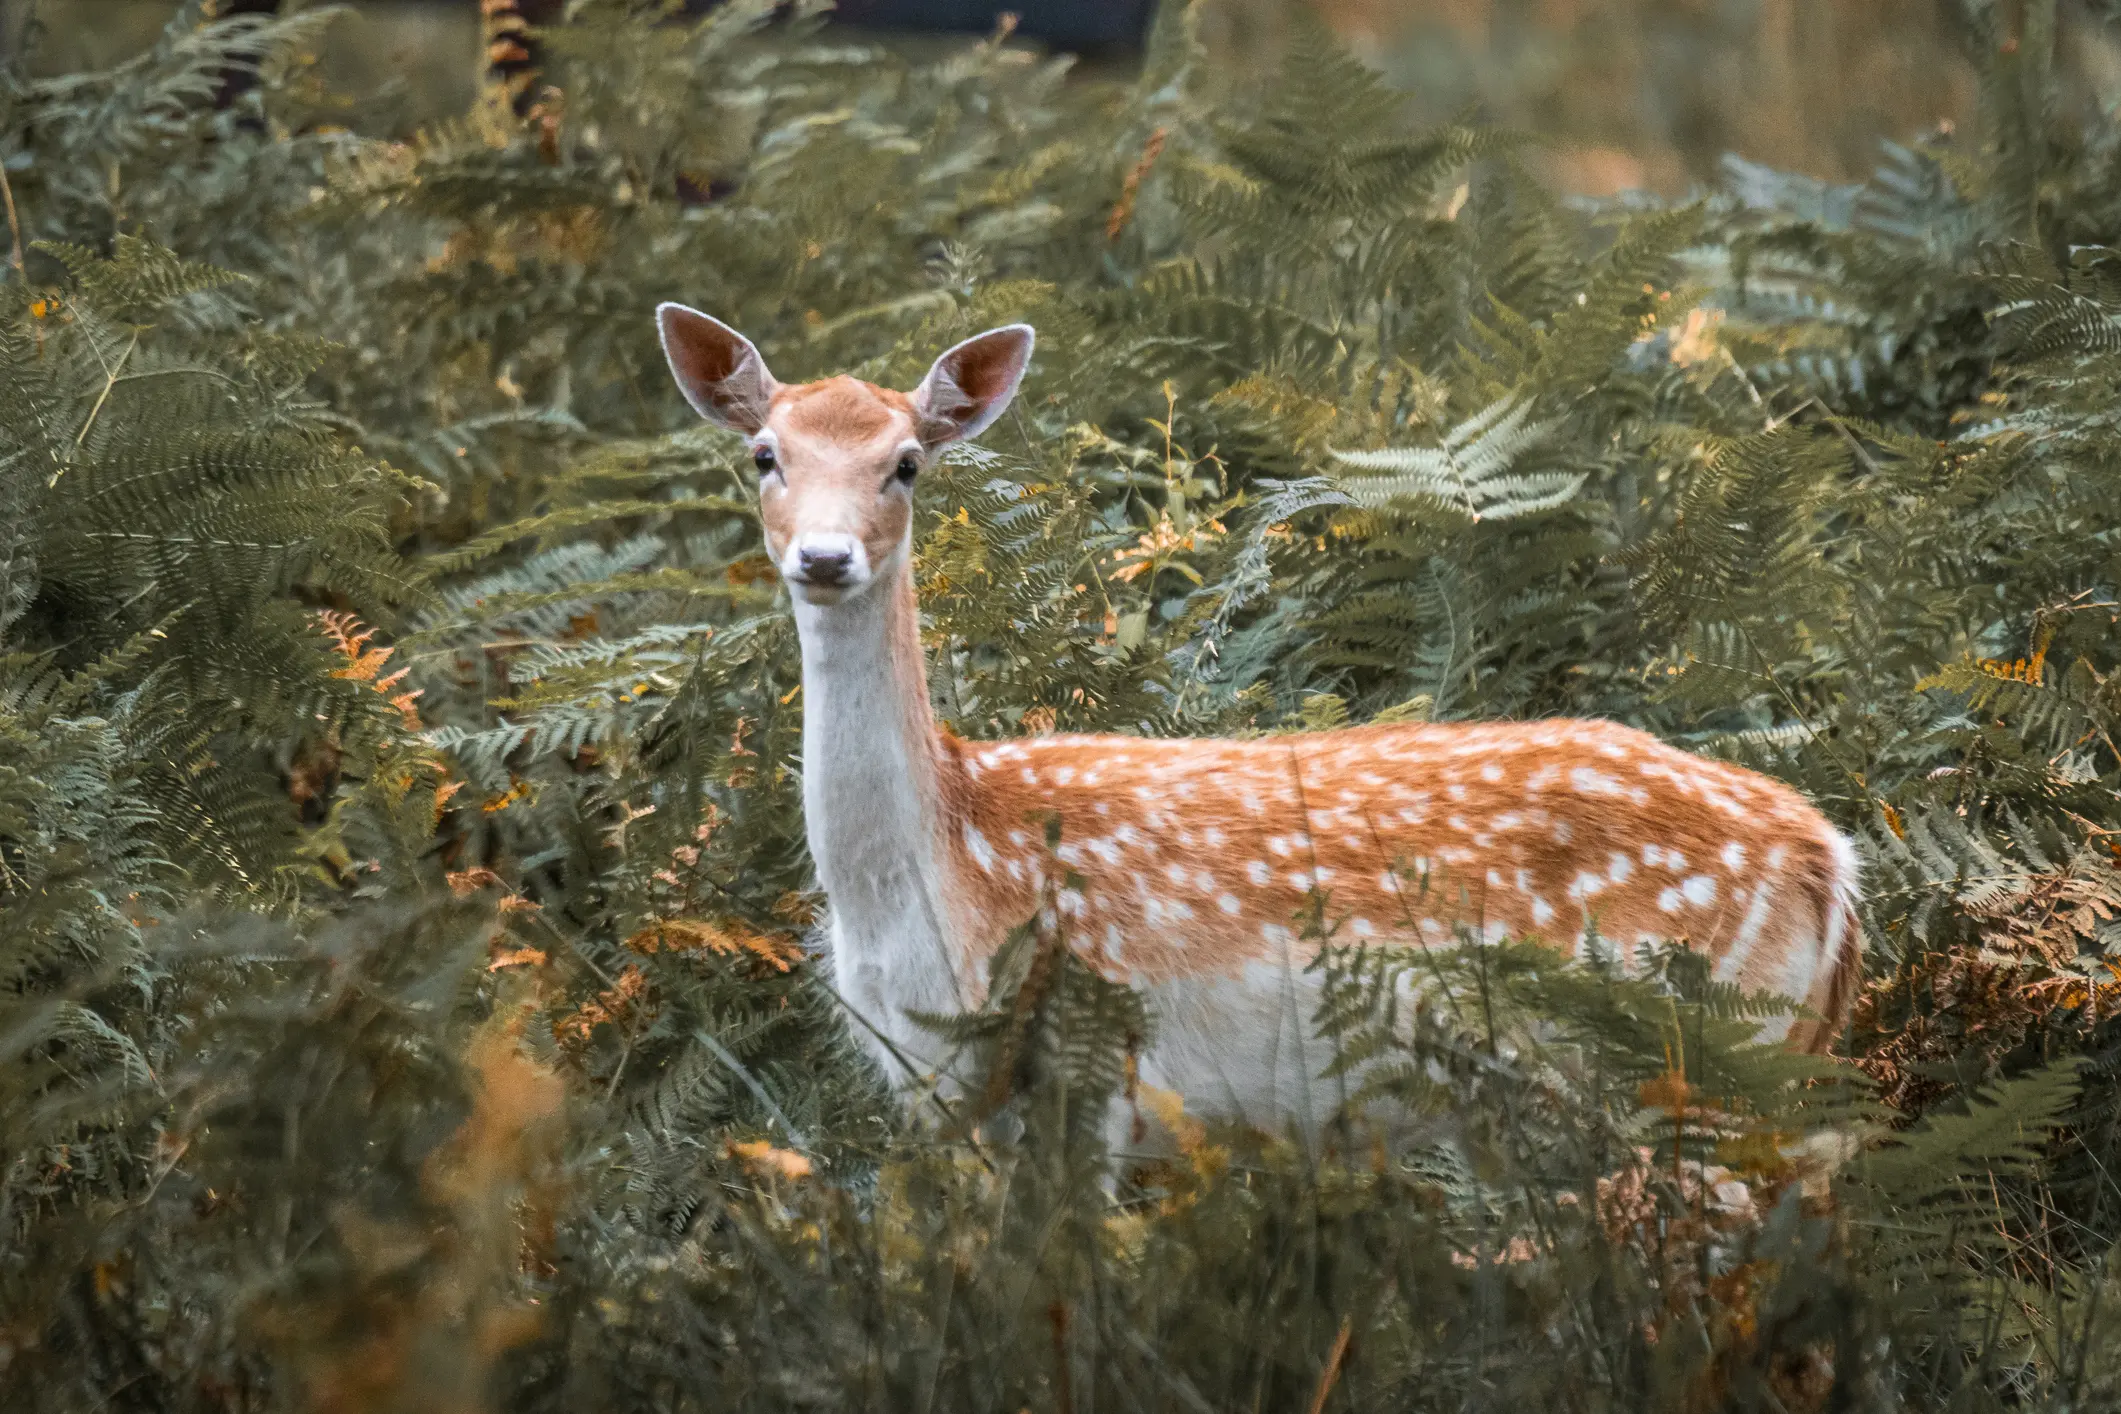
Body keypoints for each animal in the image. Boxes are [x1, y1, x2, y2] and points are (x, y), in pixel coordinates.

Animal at [654, 303, 1864, 1140]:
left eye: (905, 462)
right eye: (764, 455)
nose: (824, 558)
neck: (938, 877)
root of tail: (1829, 858)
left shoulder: (1100, 1065)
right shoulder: (931, 1087)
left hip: (1700, 1045)